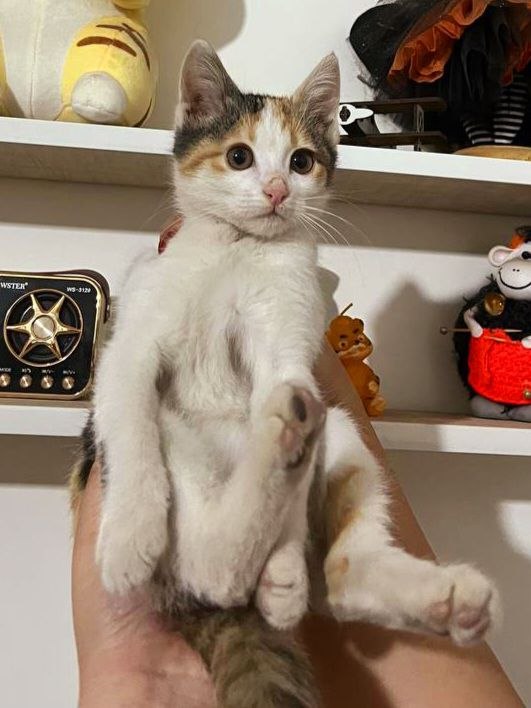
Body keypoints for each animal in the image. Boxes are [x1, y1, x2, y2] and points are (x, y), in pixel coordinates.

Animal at [70, 40, 500, 708]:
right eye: (239, 156)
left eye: (301, 161)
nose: (276, 190)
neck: (240, 251)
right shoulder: (130, 347)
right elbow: (130, 429)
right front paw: (128, 535)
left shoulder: (289, 353)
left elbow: (286, 384)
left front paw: (284, 567)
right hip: (182, 445)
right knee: (214, 567)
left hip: (344, 432)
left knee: (333, 575)